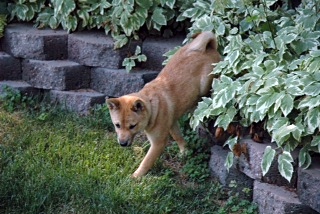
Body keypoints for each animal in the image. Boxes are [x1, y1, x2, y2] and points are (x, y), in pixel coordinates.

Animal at [106, 31, 221, 177]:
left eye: (132, 126)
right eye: (117, 125)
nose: (122, 143)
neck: (152, 107)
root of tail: (209, 47)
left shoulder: (158, 142)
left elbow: (146, 161)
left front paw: (135, 177)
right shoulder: (172, 123)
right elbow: (178, 137)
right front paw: (185, 151)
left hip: (207, 83)